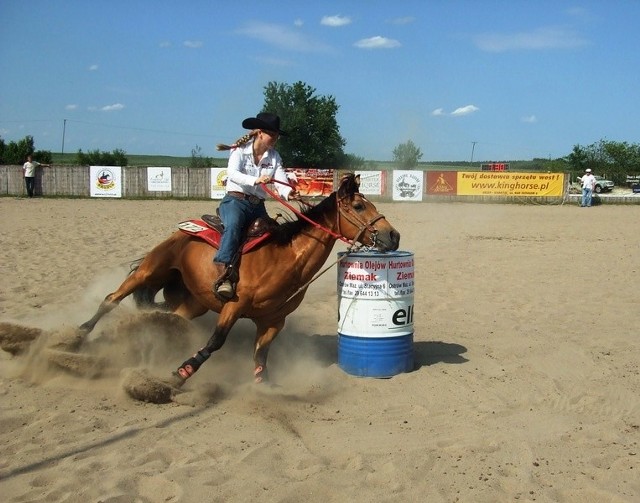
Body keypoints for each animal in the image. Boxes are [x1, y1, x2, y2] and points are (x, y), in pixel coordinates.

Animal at [79, 173, 400, 398]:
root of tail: (184, 230)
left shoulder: (273, 321)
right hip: (151, 270)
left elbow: (261, 355)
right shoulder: (233, 306)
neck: (283, 259)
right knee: (111, 298)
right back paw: (79, 336)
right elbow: (215, 342)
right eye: (359, 205)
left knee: (176, 319)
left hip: (195, 302)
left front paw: (263, 387)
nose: (394, 236)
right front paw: (180, 374)